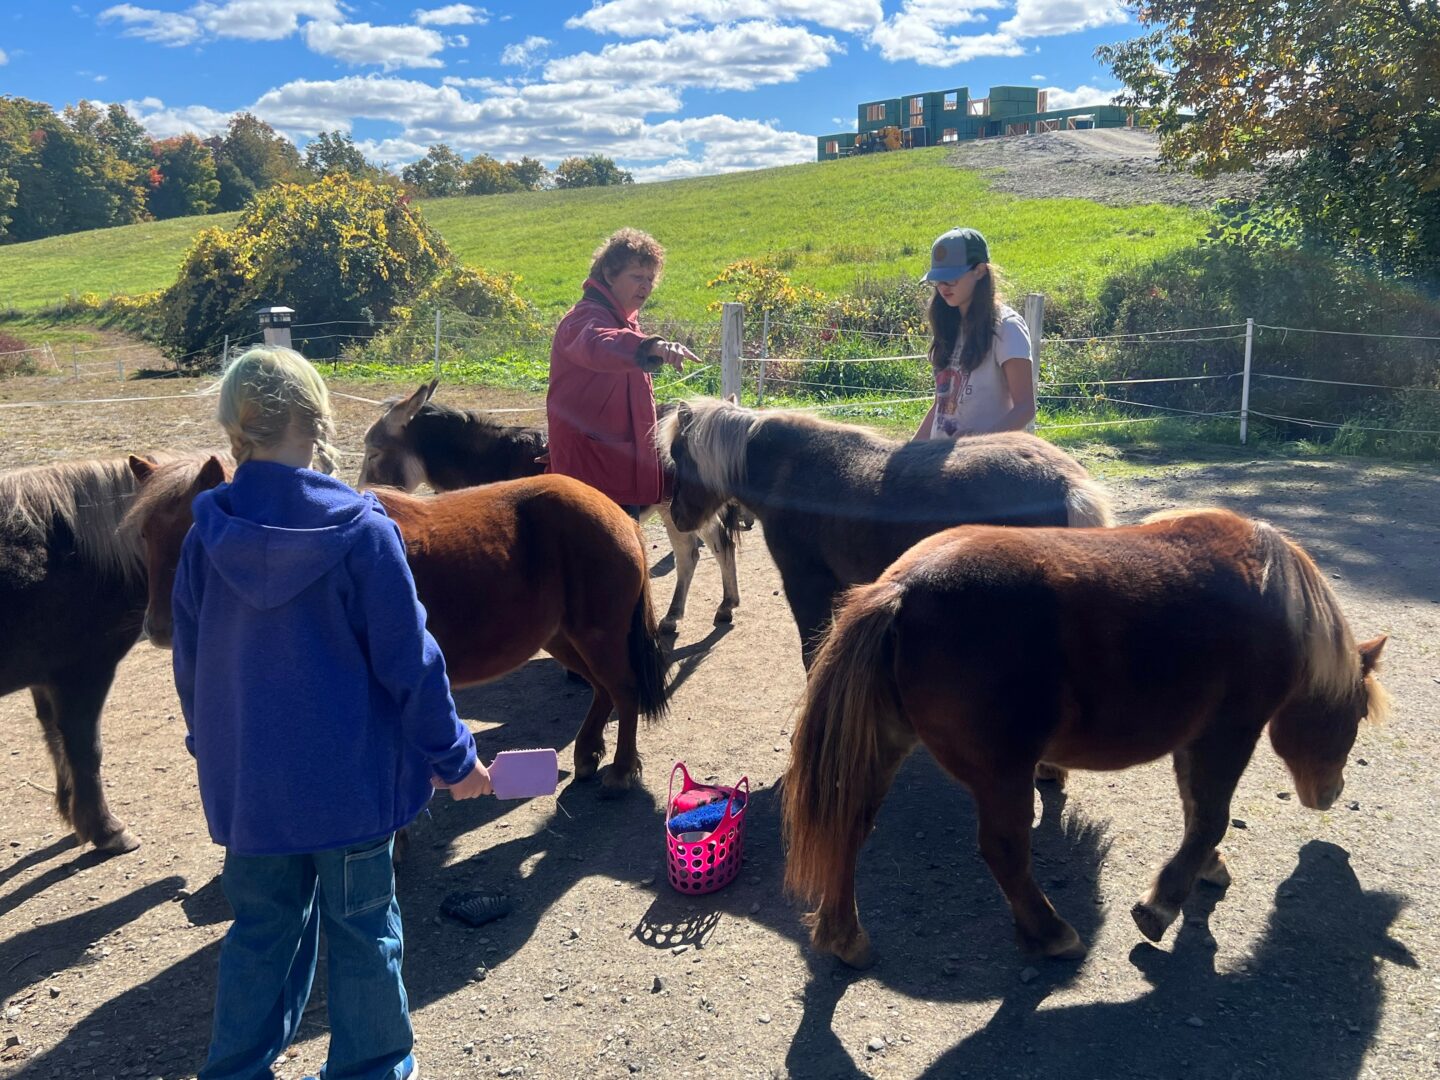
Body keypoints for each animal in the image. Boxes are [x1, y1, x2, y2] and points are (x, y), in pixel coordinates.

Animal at [0, 454, 201, 853]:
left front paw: (72, 811)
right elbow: (84, 747)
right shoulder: (82, 673)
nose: (159, 627)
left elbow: (55, 737)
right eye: (142, 534)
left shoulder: (46, 678)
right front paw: (106, 829)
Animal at [124, 455, 670, 792]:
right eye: (144, 534)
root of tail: (615, 512)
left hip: (597, 635)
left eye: (191, 534)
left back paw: (620, 771)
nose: (158, 628)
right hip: (564, 637)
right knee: (603, 690)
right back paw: (587, 754)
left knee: (622, 690)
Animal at [358, 380, 741, 634]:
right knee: (712, 547)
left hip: (681, 508)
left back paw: (690, 613)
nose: (365, 497)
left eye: (374, 452)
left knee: (696, 551)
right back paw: (721, 607)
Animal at [656, 397, 1113, 664]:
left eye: (678, 453)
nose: (677, 516)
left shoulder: (806, 585)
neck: (791, 470)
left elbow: (811, 652)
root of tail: (1067, 483)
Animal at [781, 508, 1388, 969]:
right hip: (1002, 774)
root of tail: (901, 590)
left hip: (884, 749)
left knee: (849, 826)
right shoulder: (1227, 732)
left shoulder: (1195, 739)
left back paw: (844, 937)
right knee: (1003, 850)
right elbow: (1210, 816)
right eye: (1356, 712)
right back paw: (1052, 934)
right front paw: (1161, 906)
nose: (1329, 794)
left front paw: (1206, 868)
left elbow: (1197, 811)